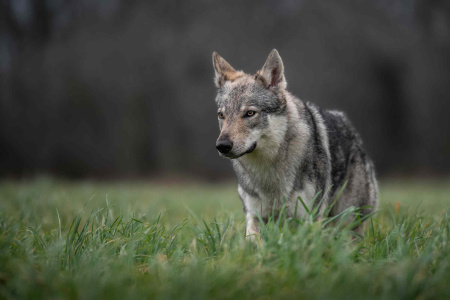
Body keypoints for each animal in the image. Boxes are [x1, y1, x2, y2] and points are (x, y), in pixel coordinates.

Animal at [213, 48, 378, 237]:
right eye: (221, 115)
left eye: (250, 113)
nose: (222, 146)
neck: (268, 169)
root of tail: (347, 123)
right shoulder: (254, 217)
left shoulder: (308, 217)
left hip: (349, 220)